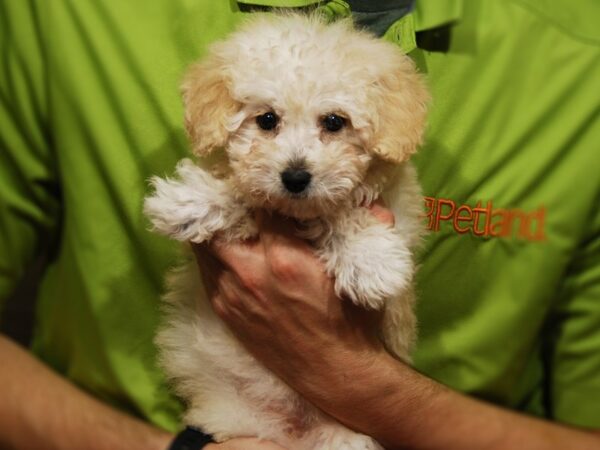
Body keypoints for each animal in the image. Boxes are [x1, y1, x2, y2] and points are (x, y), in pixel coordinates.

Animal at [144, 12, 426, 450]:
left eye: (334, 122)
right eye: (266, 120)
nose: (295, 177)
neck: (297, 215)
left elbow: (346, 212)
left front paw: (370, 259)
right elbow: (244, 195)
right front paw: (189, 201)